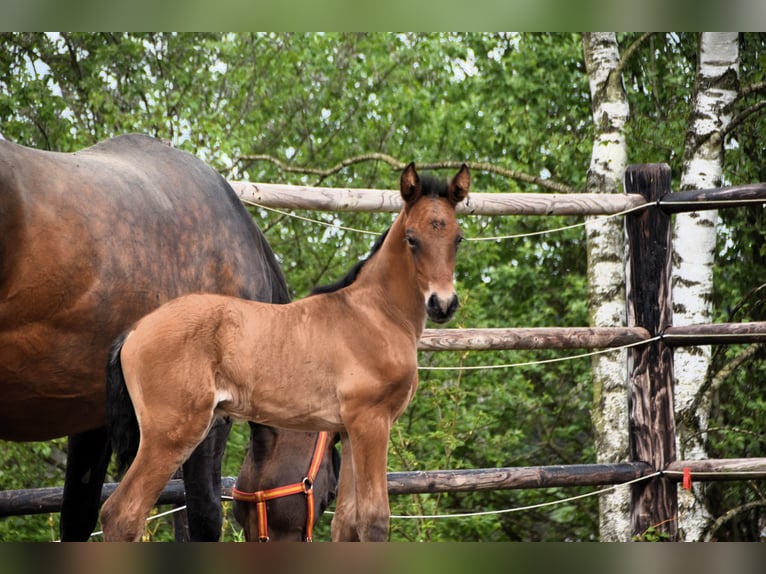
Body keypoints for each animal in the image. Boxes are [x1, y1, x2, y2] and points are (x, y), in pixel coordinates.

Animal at [99, 164, 472, 544]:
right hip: (170, 434)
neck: (375, 313)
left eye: (458, 239)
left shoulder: (351, 429)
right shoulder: (372, 421)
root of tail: (134, 330)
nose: (443, 304)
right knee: (121, 514)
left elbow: (346, 523)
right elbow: (374, 520)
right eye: (412, 239)